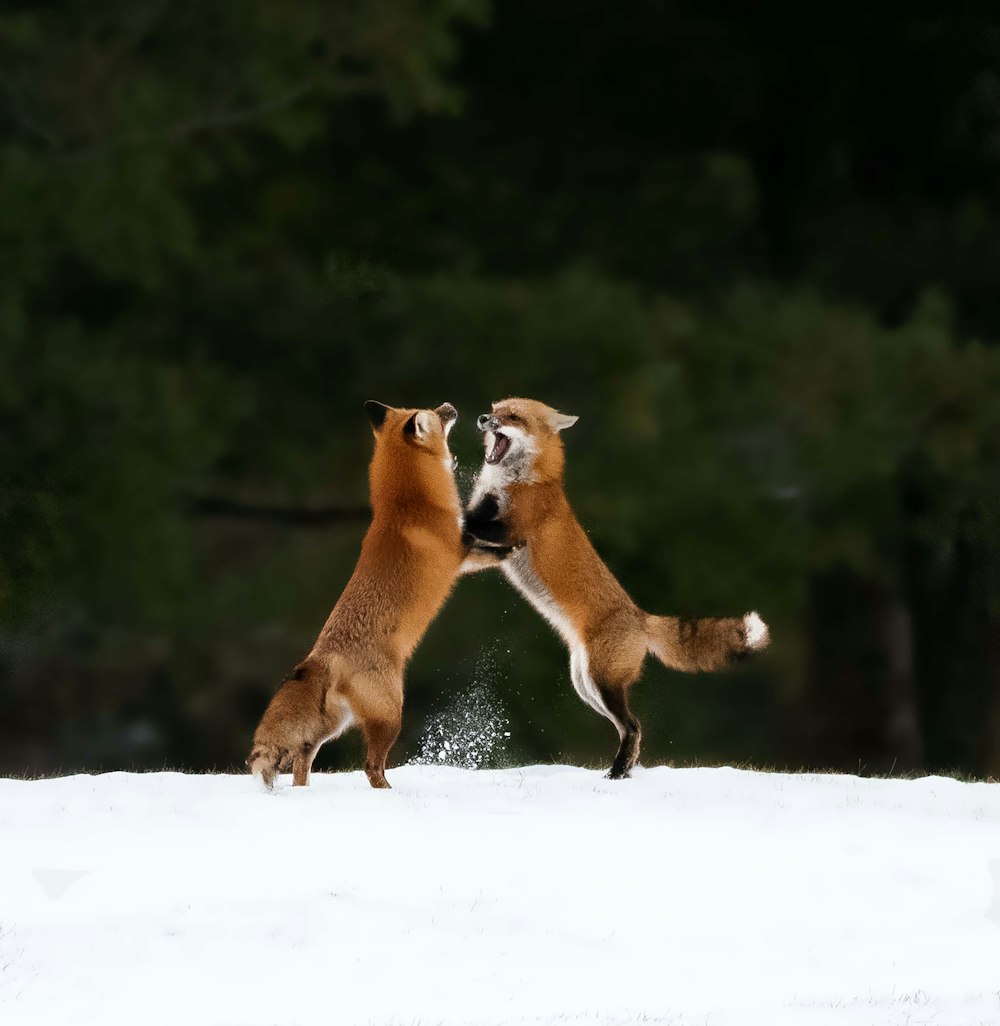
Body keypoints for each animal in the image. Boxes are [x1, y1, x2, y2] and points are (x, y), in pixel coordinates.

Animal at [247, 396, 504, 787]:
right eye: (433, 413)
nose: (450, 405)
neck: (408, 502)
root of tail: (322, 656)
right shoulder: (462, 554)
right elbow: (499, 551)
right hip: (391, 714)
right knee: (371, 767)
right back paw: (388, 793)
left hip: (333, 724)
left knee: (303, 755)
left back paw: (304, 791)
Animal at [465, 393, 771, 775]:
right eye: (496, 409)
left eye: (514, 417)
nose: (482, 418)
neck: (522, 480)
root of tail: (641, 617)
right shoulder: (491, 525)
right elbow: (470, 523)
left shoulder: (514, 529)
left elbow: (472, 522)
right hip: (586, 686)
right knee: (629, 728)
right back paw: (623, 770)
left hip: (603, 683)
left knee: (634, 726)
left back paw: (618, 772)